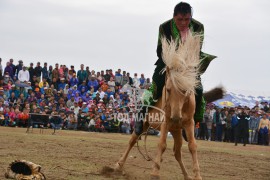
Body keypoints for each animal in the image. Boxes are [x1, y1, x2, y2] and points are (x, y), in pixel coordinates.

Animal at [114, 33, 221, 179]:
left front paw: (197, 175)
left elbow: (192, 146)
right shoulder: (165, 121)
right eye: (169, 89)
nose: (175, 117)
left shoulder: (189, 123)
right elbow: (162, 144)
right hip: (146, 124)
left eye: (185, 91)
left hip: (176, 131)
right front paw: (154, 172)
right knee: (132, 141)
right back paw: (119, 165)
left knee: (177, 153)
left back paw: (186, 175)